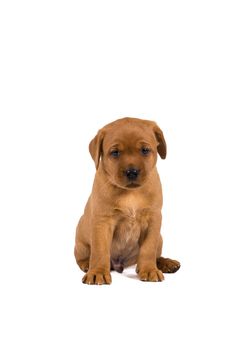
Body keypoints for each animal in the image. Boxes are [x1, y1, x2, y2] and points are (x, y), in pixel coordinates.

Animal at [73, 117, 179, 284]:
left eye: (145, 150)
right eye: (115, 153)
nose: (132, 172)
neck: (131, 193)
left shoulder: (153, 219)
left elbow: (148, 249)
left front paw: (149, 269)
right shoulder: (102, 221)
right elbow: (100, 251)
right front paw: (97, 272)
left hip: (160, 238)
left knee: (155, 254)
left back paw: (166, 263)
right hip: (80, 238)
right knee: (83, 256)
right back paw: (87, 264)